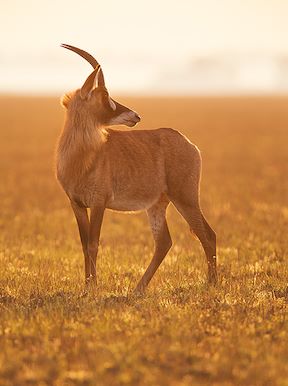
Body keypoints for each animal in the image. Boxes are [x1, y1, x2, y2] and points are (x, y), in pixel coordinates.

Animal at [56, 43, 217, 292]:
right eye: (104, 95)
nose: (136, 116)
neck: (82, 156)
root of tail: (190, 144)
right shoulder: (77, 204)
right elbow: (84, 245)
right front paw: (87, 286)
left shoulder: (99, 203)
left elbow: (93, 244)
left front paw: (94, 289)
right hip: (158, 204)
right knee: (164, 242)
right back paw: (138, 288)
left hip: (185, 198)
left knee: (207, 234)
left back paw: (212, 284)